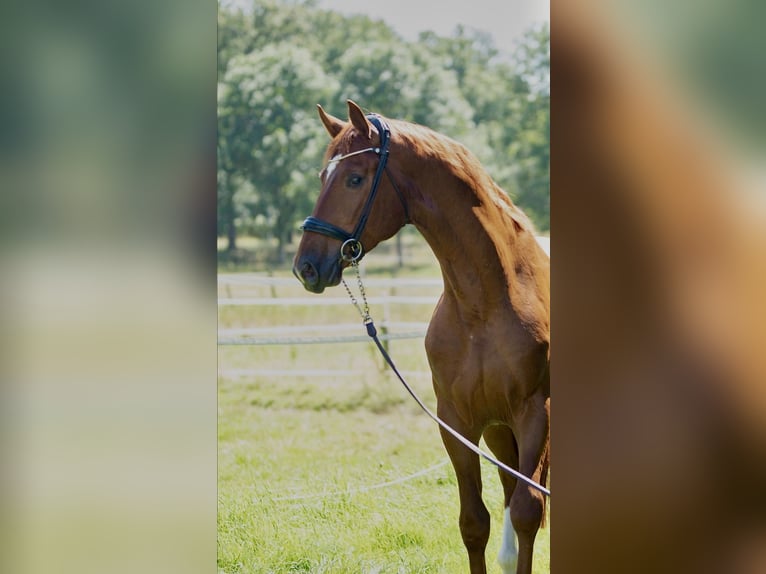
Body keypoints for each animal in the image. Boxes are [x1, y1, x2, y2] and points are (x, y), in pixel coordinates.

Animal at [294, 100, 552, 574]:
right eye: (323, 176)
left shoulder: (534, 414)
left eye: (355, 178)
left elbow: (528, 511)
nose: (306, 266)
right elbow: (475, 522)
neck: (485, 302)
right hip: (499, 432)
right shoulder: (458, 421)